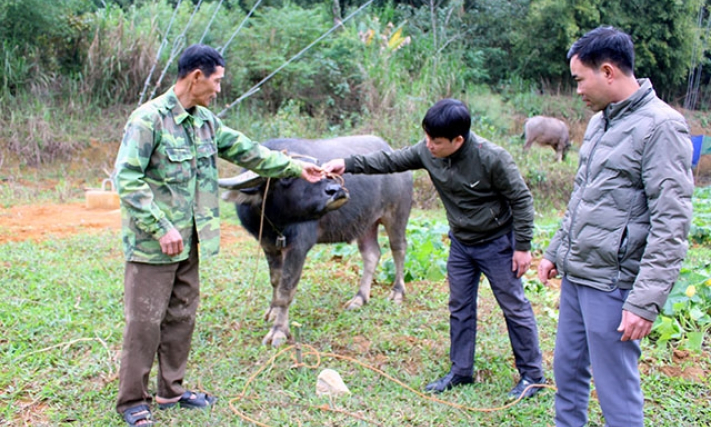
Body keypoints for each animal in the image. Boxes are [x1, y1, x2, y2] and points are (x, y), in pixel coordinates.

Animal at [220, 137, 414, 348]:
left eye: (319, 170)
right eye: (286, 176)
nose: (335, 190)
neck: (275, 221)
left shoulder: (298, 247)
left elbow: (287, 288)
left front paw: (279, 331)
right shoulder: (268, 245)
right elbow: (276, 281)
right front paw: (273, 310)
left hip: (396, 215)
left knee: (398, 249)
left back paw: (397, 292)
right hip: (366, 223)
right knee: (371, 254)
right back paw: (359, 298)